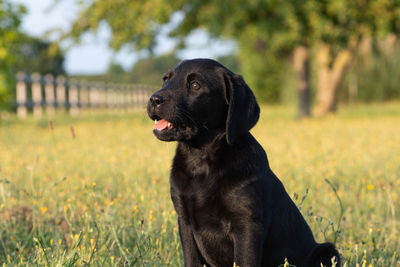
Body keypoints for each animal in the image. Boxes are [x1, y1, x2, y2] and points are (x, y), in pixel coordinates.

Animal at [147, 58, 340, 267]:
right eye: (166, 79)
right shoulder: (185, 221)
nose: (154, 99)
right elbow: (191, 260)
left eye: (195, 85)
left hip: (327, 251)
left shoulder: (247, 225)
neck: (200, 161)